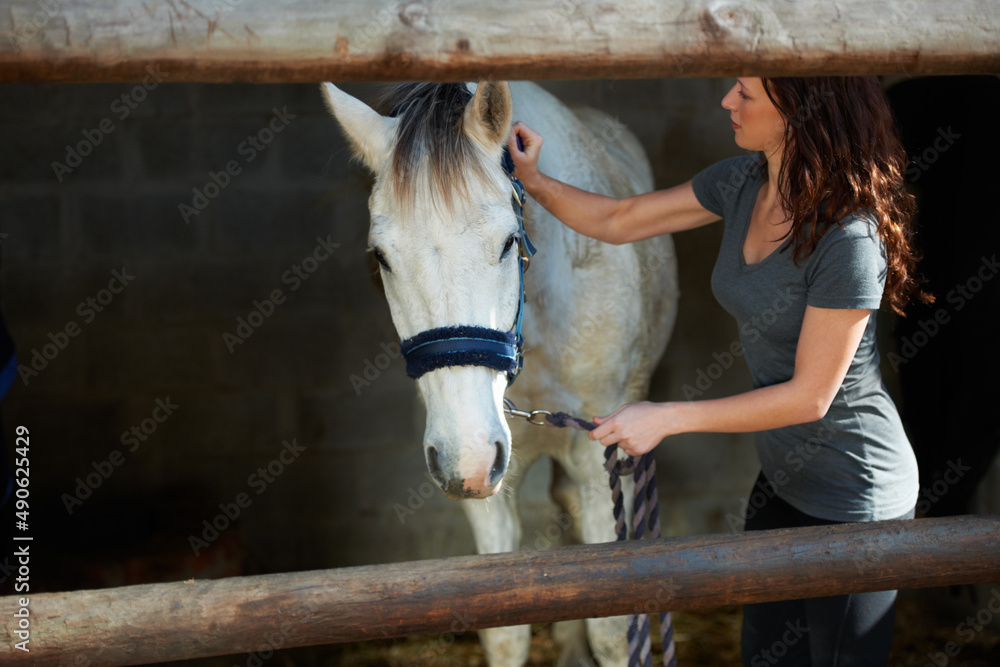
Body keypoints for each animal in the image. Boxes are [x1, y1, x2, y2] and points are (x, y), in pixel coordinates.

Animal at [320, 81, 680, 664]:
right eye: (380, 256)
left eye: (510, 241)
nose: (466, 458)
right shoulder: (486, 481)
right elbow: (503, 625)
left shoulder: (598, 458)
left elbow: (611, 623)